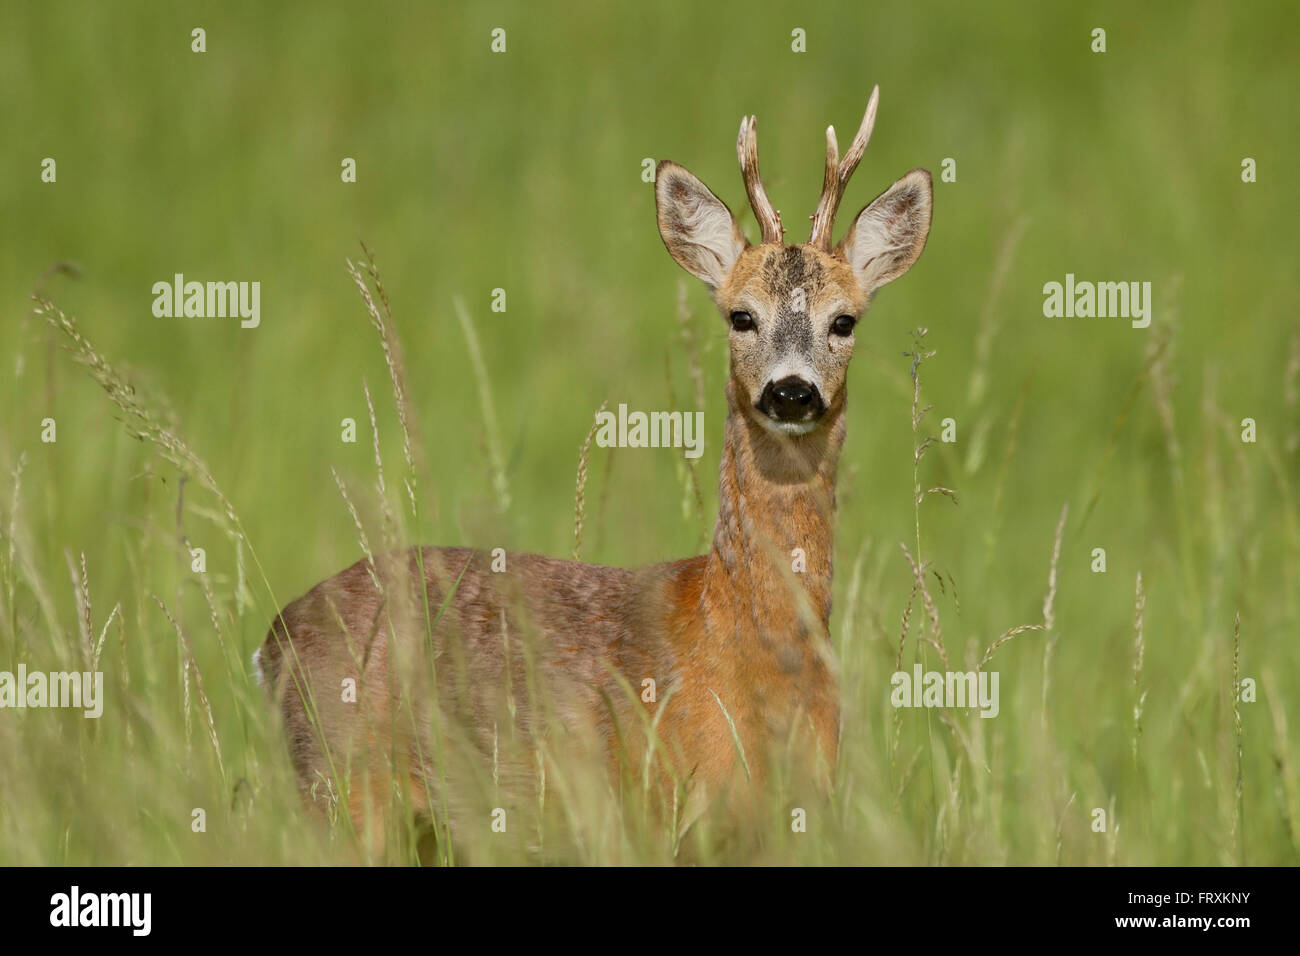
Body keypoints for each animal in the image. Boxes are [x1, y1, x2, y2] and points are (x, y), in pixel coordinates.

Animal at [255, 85, 932, 857]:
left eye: (844, 321)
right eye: (740, 316)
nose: (792, 392)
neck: (745, 648)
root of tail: (270, 641)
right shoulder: (658, 807)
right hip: (339, 790)